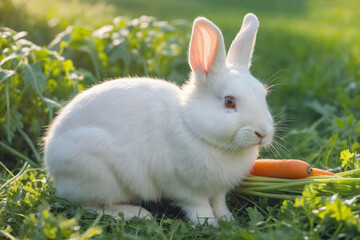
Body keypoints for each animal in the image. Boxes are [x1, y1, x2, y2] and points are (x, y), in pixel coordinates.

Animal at [44, 13, 272, 226]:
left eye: (264, 95)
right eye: (229, 102)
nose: (262, 133)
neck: (193, 128)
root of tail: (52, 164)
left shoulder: (217, 190)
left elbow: (219, 204)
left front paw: (229, 221)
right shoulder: (184, 187)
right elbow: (199, 207)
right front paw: (209, 224)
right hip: (96, 176)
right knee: (89, 205)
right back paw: (136, 214)